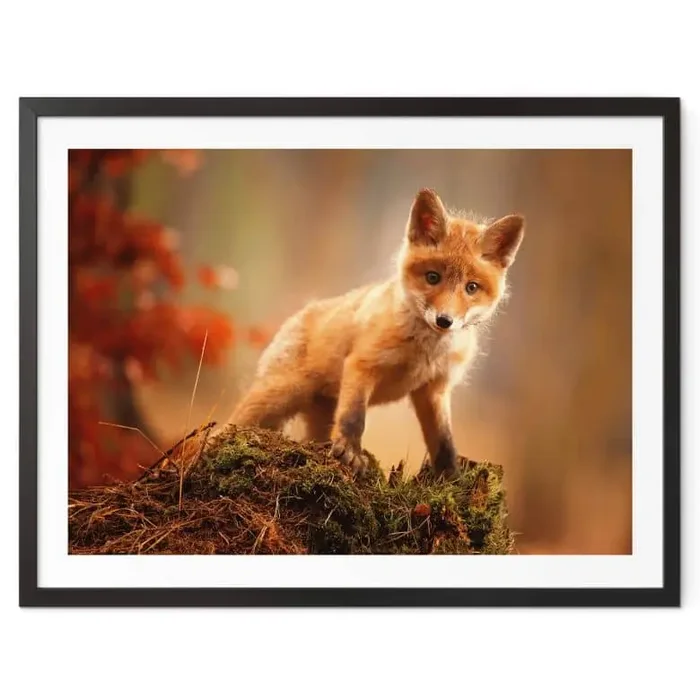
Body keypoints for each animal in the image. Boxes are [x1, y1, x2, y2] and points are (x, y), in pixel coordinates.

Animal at [227, 188, 525, 479]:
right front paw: (350, 453)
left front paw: (451, 479)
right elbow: (354, 417)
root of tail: (299, 314)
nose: (444, 320)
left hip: (318, 415)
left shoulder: (434, 389)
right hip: (277, 396)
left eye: (471, 287)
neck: (424, 351)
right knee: (227, 427)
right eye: (432, 277)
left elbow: (444, 442)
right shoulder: (363, 364)